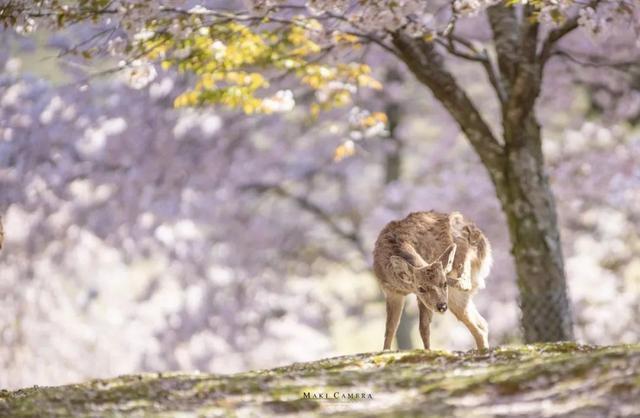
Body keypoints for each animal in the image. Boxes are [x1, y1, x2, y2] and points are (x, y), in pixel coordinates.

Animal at [372, 211, 492, 352]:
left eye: (443, 283)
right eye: (421, 288)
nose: (442, 306)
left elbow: (423, 328)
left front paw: (428, 351)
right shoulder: (391, 292)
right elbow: (390, 328)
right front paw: (385, 350)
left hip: (464, 240)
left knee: (465, 277)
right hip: (455, 298)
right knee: (480, 324)